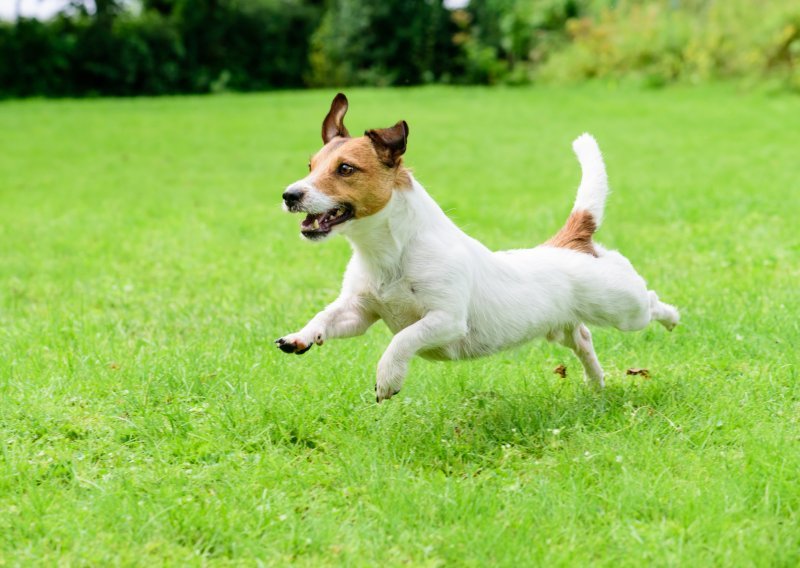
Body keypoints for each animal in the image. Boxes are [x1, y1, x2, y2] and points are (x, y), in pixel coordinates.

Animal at [274, 94, 676, 404]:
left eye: (345, 169)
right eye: (310, 165)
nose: (289, 195)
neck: (389, 253)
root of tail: (572, 242)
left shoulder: (446, 319)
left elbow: (403, 338)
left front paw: (388, 378)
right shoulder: (358, 312)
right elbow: (326, 317)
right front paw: (300, 337)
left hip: (623, 307)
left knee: (651, 301)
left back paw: (672, 318)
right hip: (562, 326)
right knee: (583, 337)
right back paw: (596, 382)